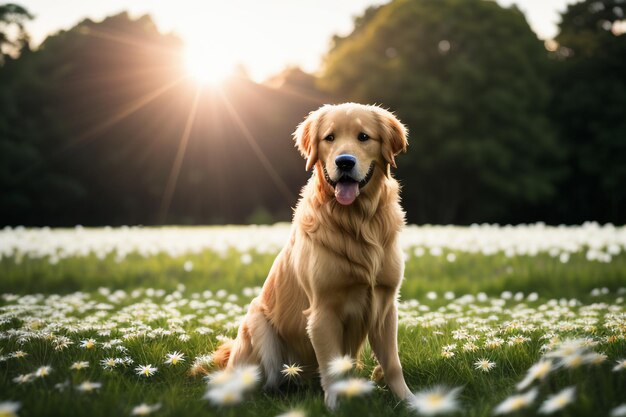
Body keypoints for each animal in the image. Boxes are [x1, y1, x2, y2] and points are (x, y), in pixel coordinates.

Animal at [212, 102, 412, 408]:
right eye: (329, 138)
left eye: (363, 137)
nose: (344, 162)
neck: (356, 222)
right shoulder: (323, 311)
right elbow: (331, 366)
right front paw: (335, 406)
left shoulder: (385, 305)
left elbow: (392, 364)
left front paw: (409, 400)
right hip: (258, 324)